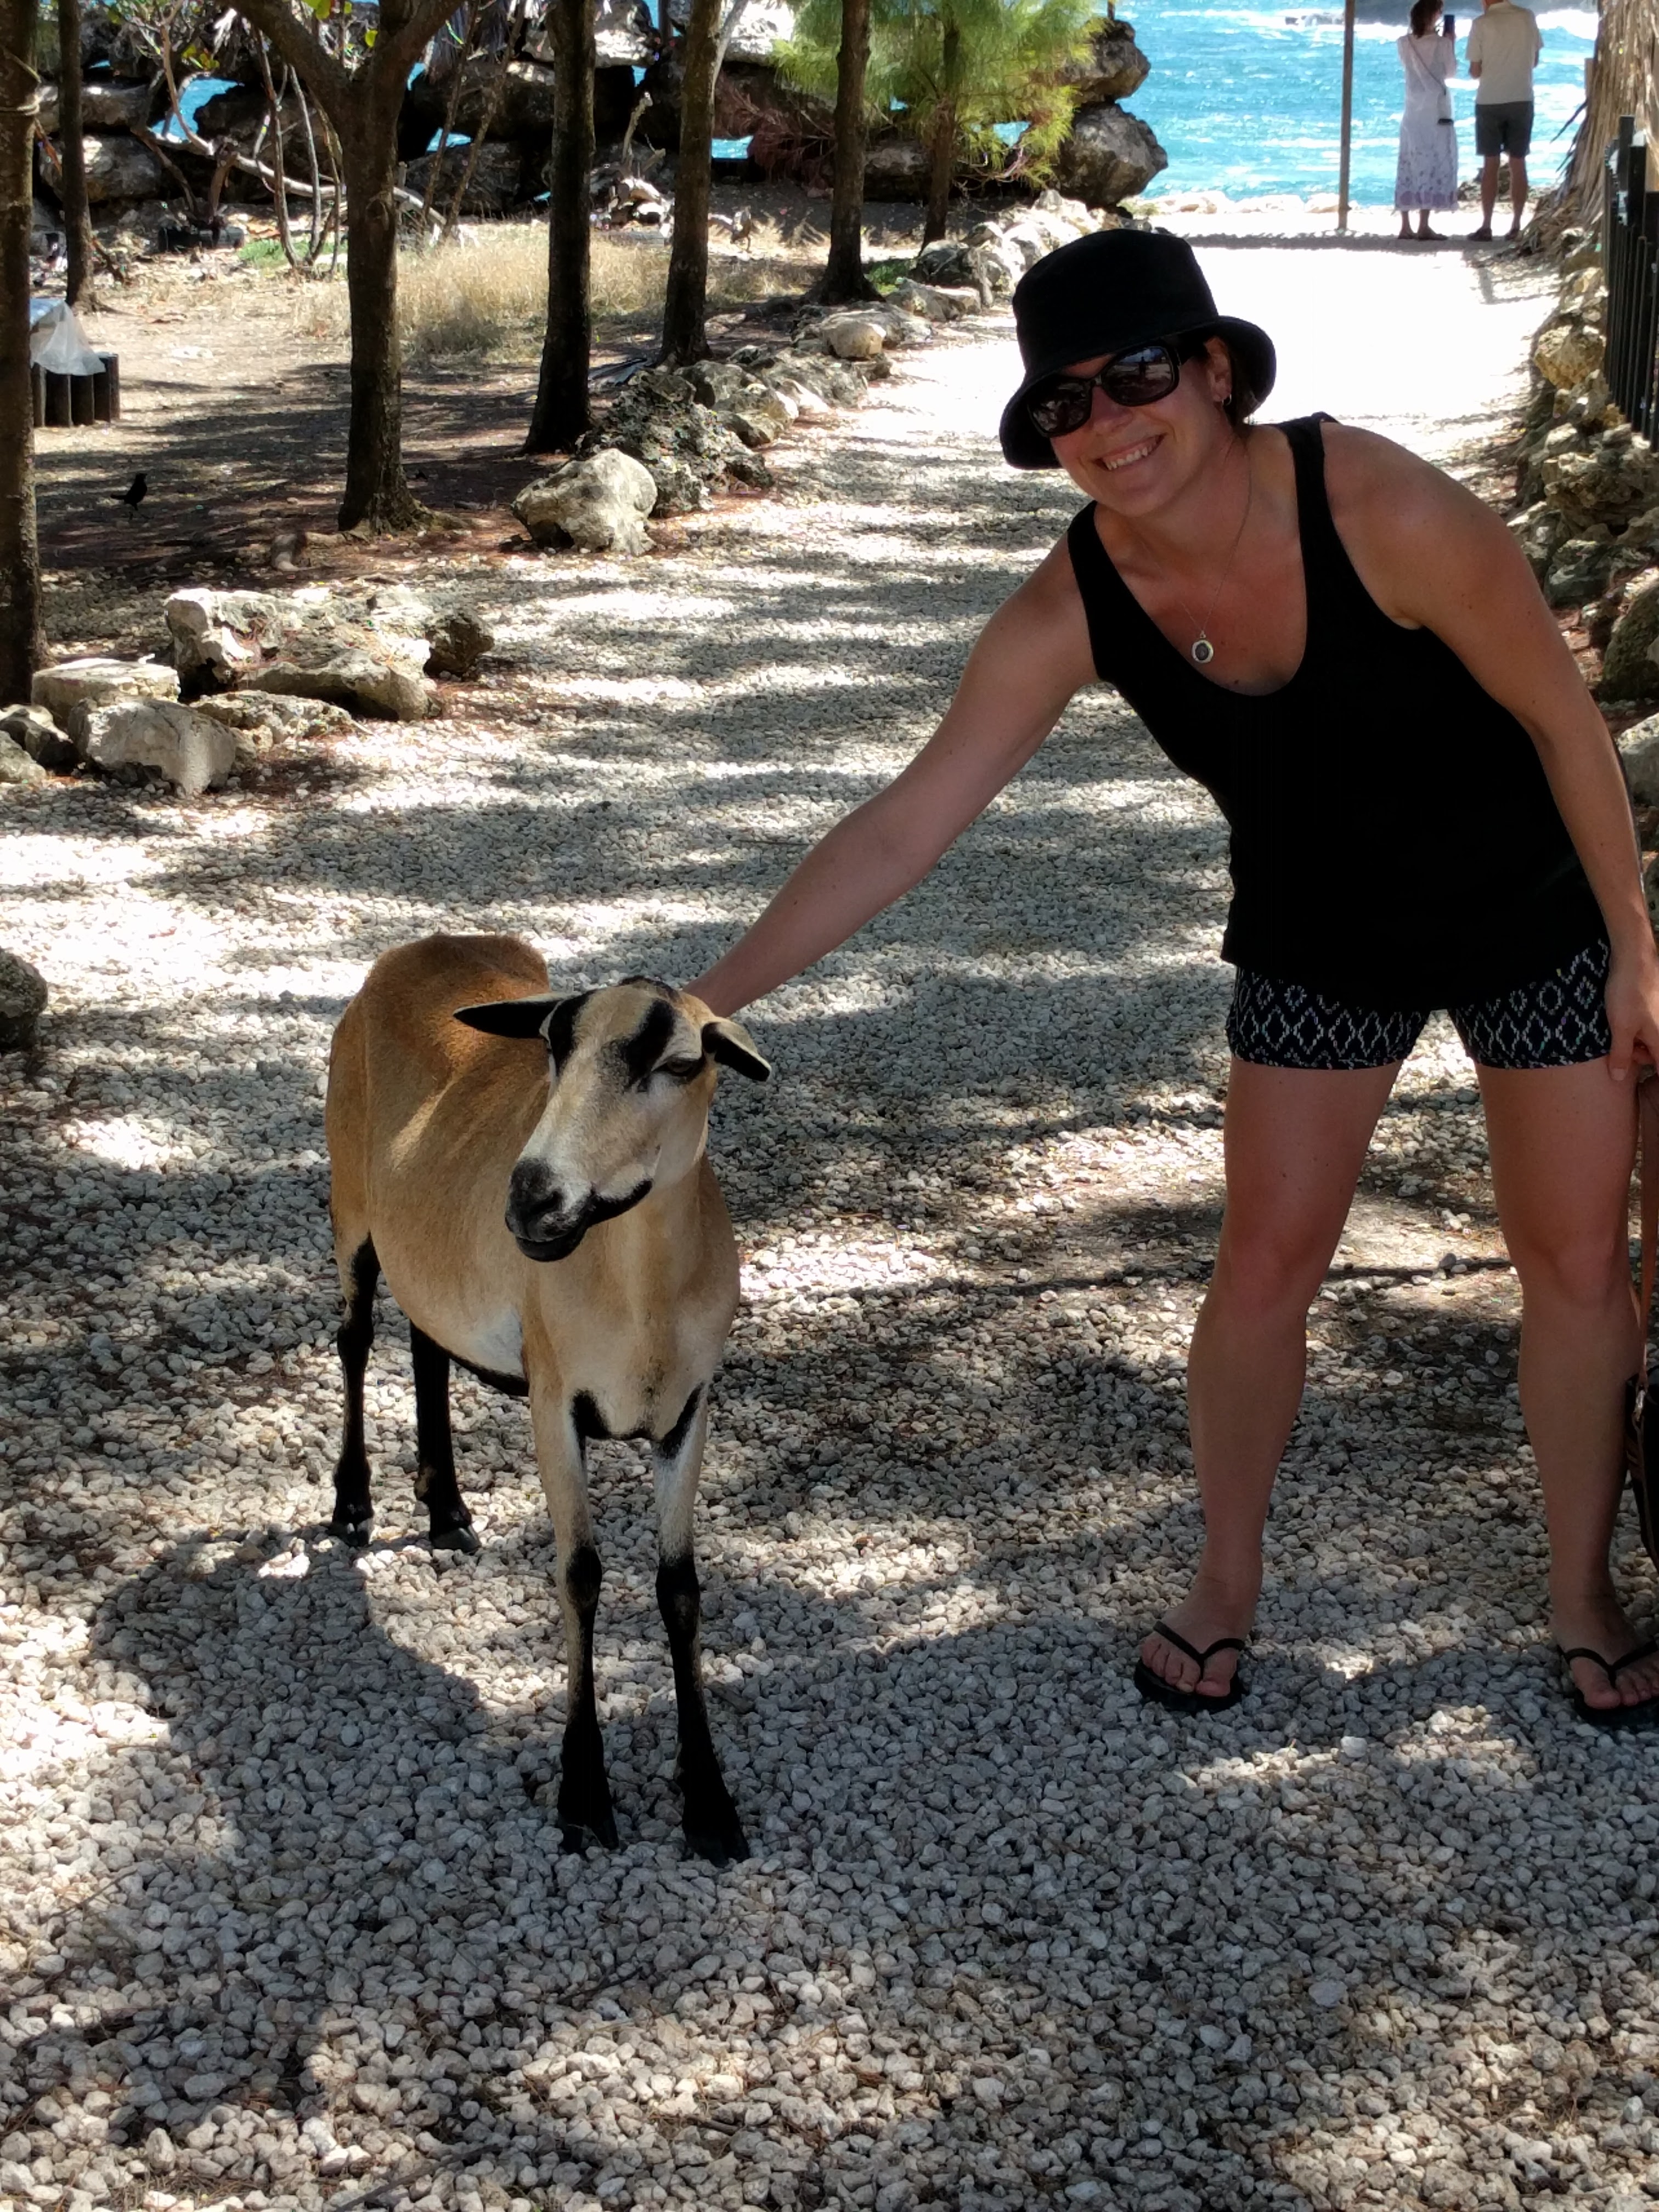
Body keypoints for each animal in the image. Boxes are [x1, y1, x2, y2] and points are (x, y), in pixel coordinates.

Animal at [324, 933, 770, 1865]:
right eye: (553, 1051)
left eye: (679, 1064)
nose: (533, 1199)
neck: (641, 1303)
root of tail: (423, 945)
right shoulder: (555, 1403)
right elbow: (581, 1574)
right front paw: (585, 1797)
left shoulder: (689, 1409)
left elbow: (679, 1588)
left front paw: (710, 1807)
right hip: (349, 1202)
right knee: (352, 1337)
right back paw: (352, 1505)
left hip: (432, 1249)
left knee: (428, 1344)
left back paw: (447, 1509)